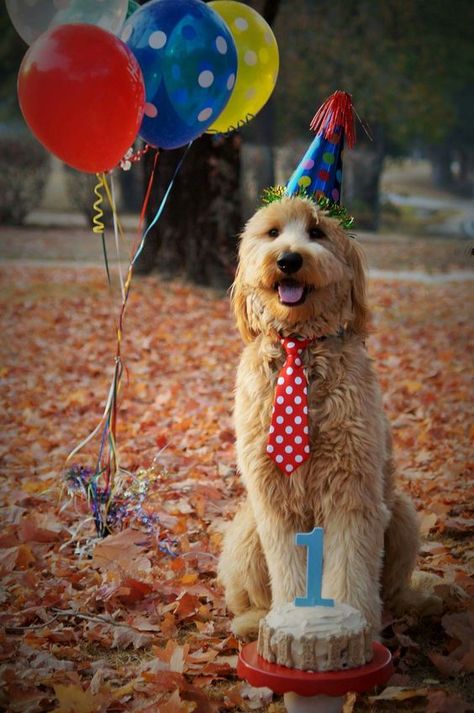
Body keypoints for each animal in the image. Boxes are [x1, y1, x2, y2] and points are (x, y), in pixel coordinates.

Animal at [218, 193, 434, 636]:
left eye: (316, 232)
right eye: (272, 233)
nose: (288, 260)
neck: (300, 348)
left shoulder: (352, 492)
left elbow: (349, 569)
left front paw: (355, 620)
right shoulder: (274, 501)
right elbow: (289, 573)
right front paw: (292, 613)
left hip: (402, 514)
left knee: (394, 590)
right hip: (247, 527)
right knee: (246, 598)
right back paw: (253, 621)